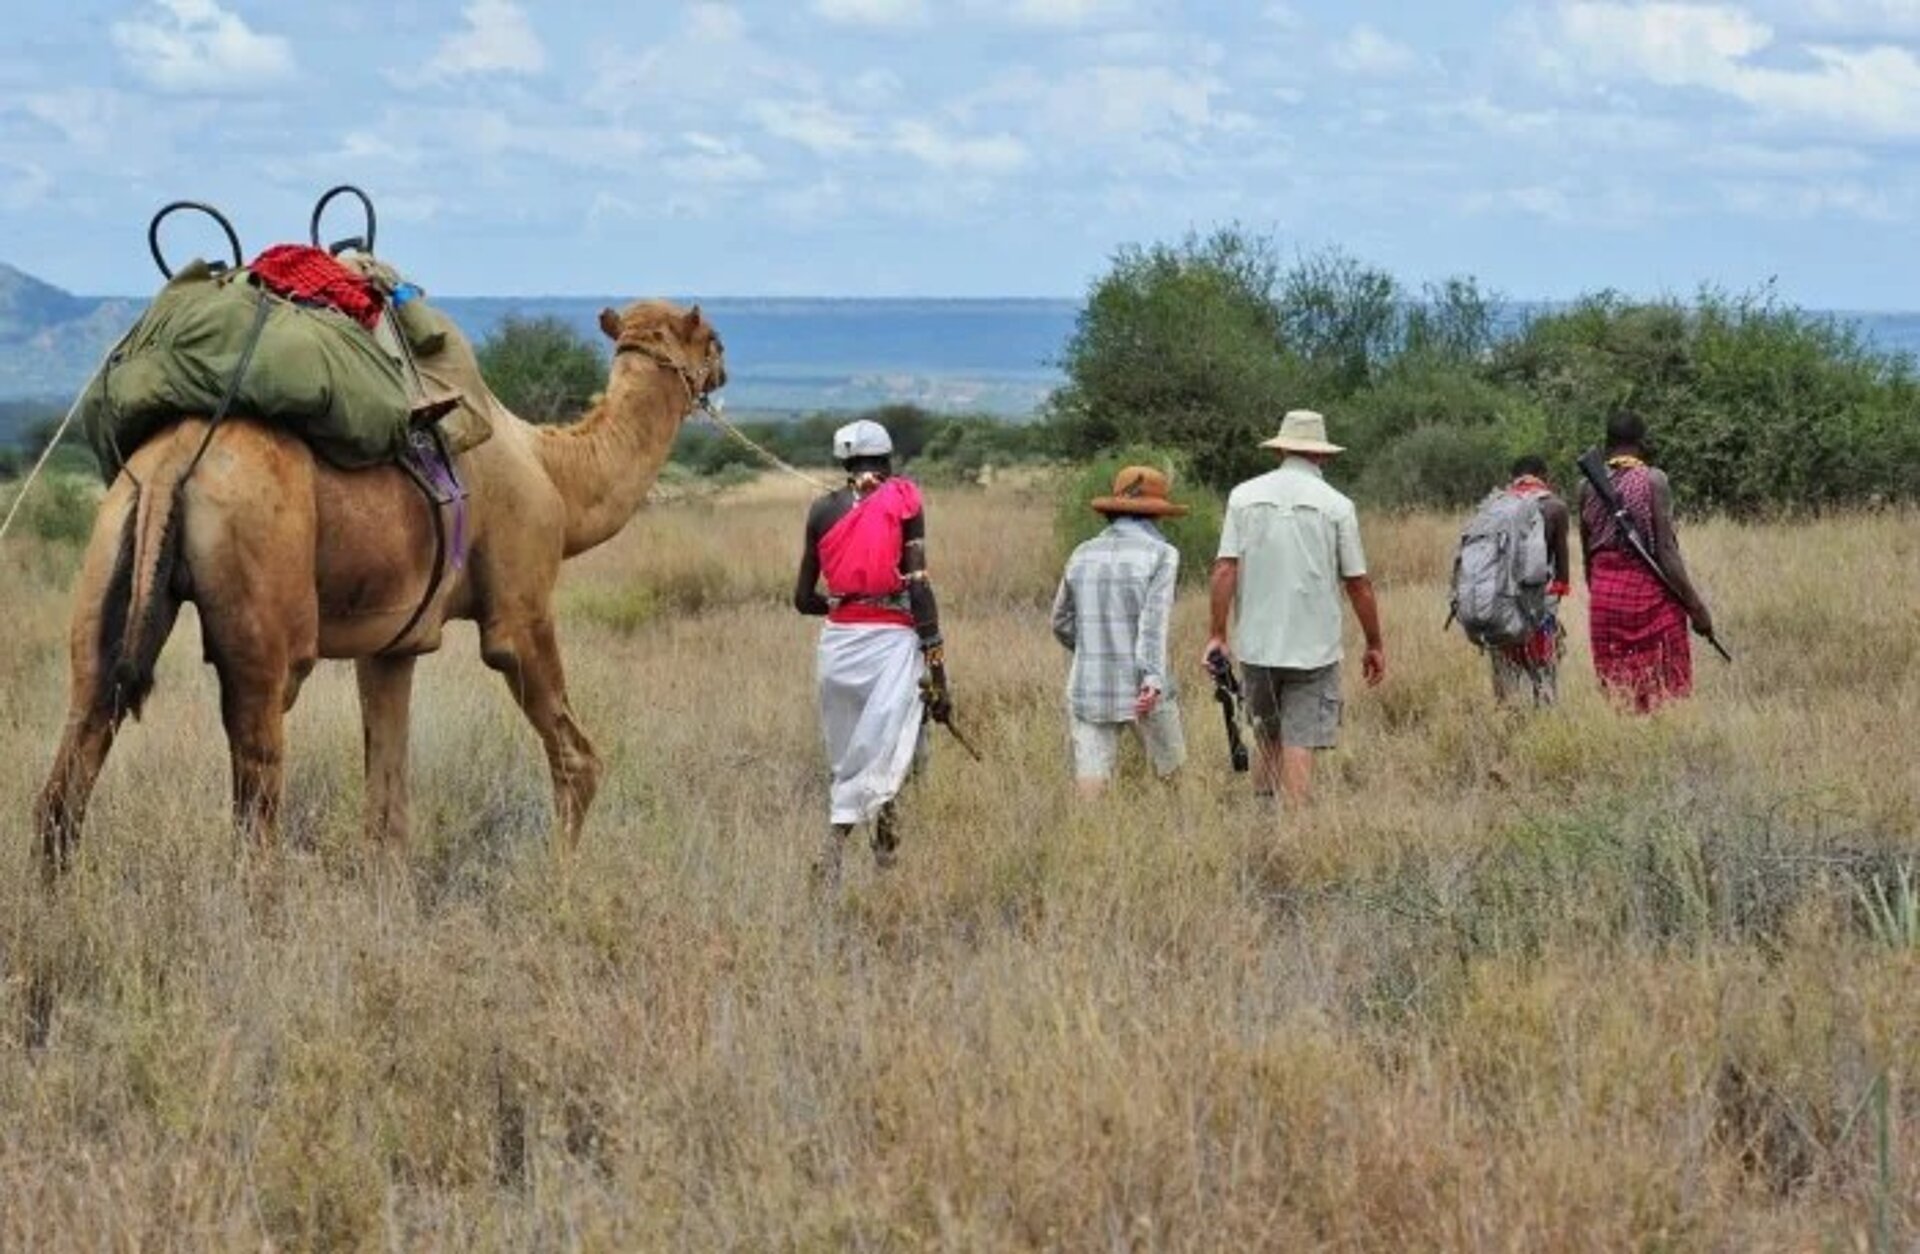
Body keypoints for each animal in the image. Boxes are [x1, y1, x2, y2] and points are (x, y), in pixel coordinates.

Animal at [34, 300, 725, 872]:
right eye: (712, 339)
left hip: (115, 541)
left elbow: (386, 806)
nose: (721, 372)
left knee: (76, 752)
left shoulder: (393, 644)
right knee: (256, 794)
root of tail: (175, 458)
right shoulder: (521, 604)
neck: (556, 471)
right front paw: (562, 879)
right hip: (263, 593)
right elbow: (578, 759)